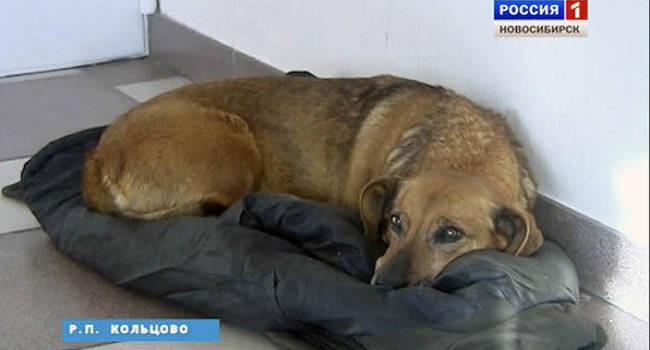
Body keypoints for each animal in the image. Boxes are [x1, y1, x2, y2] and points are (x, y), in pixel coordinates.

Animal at [83, 74, 544, 288]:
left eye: (450, 233)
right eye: (395, 222)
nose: (382, 283)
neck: (466, 148)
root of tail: (97, 158)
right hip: (237, 148)